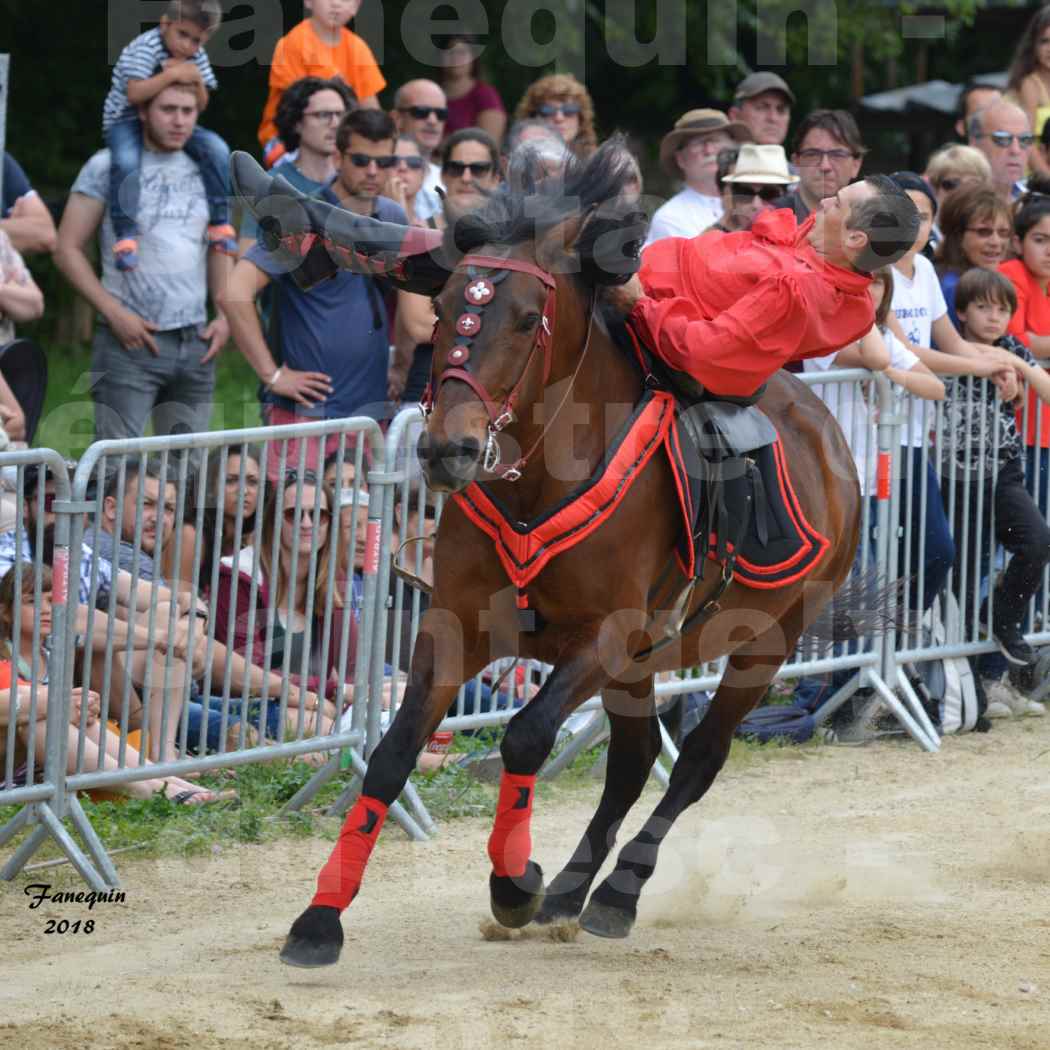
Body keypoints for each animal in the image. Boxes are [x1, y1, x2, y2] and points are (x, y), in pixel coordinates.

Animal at [254, 145, 860, 965]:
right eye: (441, 312)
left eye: (525, 319)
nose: (446, 448)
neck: (538, 480)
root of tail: (826, 431)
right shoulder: (455, 625)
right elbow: (391, 752)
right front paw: (321, 916)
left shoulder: (606, 635)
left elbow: (526, 736)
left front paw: (514, 884)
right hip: (646, 664)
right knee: (633, 760)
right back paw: (574, 889)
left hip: (764, 643)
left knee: (697, 759)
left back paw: (614, 894)